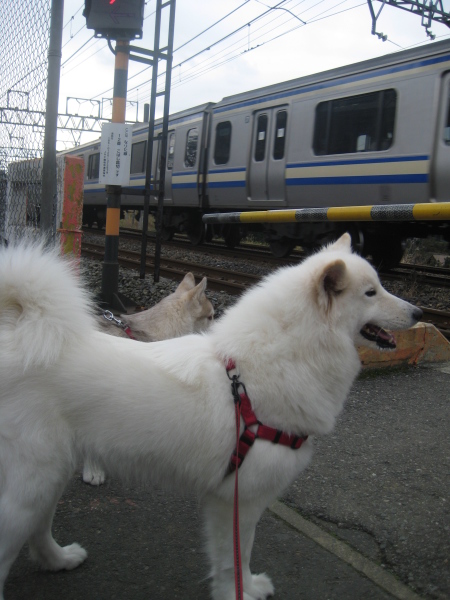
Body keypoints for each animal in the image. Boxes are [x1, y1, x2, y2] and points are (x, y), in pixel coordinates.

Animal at [0, 234, 422, 600]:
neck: (260, 372)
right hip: (30, 485)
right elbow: (234, 559)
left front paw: (244, 588)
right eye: (371, 293)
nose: (419, 312)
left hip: (50, 476)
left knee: (39, 531)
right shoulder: (238, 501)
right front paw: (238, 594)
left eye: (380, 286)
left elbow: (234, 558)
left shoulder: (233, 498)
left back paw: (59, 559)